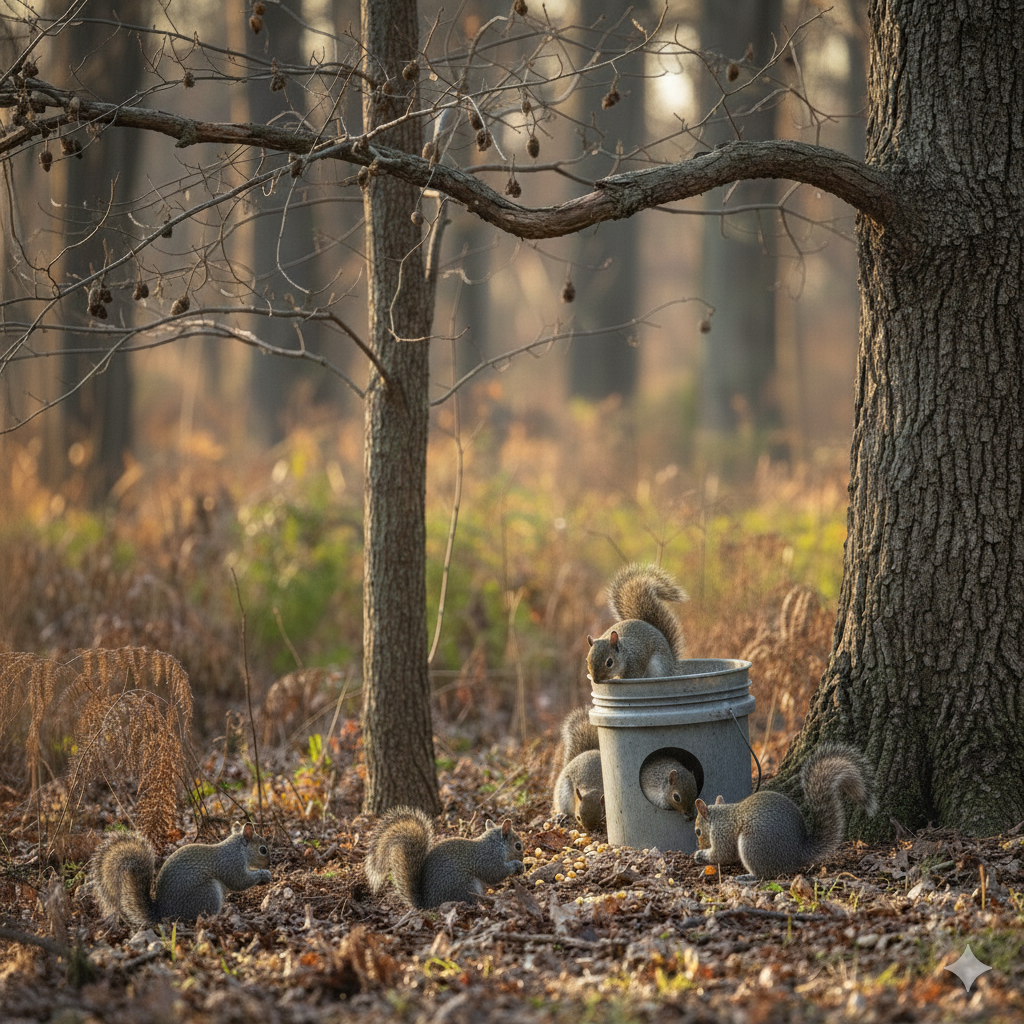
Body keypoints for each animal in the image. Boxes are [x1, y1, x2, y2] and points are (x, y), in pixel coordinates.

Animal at [92, 821, 272, 928]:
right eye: (263, 850)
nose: (269, 864)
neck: (238, 849)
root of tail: (162, 913)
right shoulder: (231, 865)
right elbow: (240, 881)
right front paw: (264, 874)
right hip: (207, 893)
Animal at [364, 807, 525, 909]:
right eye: (518, 846)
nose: (523, 858)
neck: (495, 844)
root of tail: (428, 904)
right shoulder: (487, 859)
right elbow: (495, 873)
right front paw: (517, 865)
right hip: (464, 886)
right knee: (472, 900)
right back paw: (492, 898)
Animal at [693, 742, 877, 879]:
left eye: (697, 831)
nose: (700, 845)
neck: (718, 817)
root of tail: (797, 854)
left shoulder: (722, 833)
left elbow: (721, 854)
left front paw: (700, 854)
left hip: (752, 845)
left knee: (764, 875)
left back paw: (747, 877)